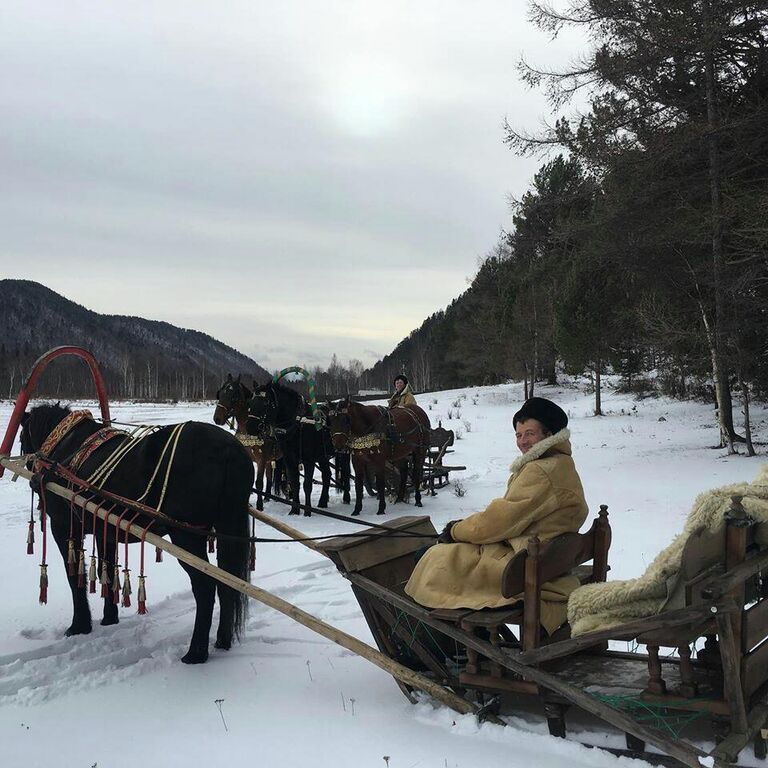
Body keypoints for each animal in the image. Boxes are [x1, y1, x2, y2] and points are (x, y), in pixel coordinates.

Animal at [20, 404, 255, 664]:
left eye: (20, 438)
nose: (33, 478)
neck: (67, 449)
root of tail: (230, 449)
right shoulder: (106, 529)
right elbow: (106, 570)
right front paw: (109, 618)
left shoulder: (64, 528)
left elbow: (74, 577)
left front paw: (79, 625)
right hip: (223, 528)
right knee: (227, 582)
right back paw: (223, 640)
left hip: (186, 536)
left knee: (205, 587)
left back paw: (196, 652)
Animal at [213, 372, 282, 510]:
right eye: (220, 393)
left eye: (234, 396)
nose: (217, 418)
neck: (248, 430)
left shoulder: (261, 458)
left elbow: (259, 482)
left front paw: (259, 506)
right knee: (270, 476)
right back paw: (267, 497)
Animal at [244, 382, 350, 516]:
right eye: (250, 402)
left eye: (265, 402)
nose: (250, 427)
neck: (298, 423)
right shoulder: (289, 459)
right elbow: (294, 483)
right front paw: (294, 510)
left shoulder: (309, 460)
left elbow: (307, 485)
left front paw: (307, 511)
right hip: (322, 456)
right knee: (327, 475)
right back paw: (323, 502)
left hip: (344, 450)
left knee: (346, 473)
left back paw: (346, 498)